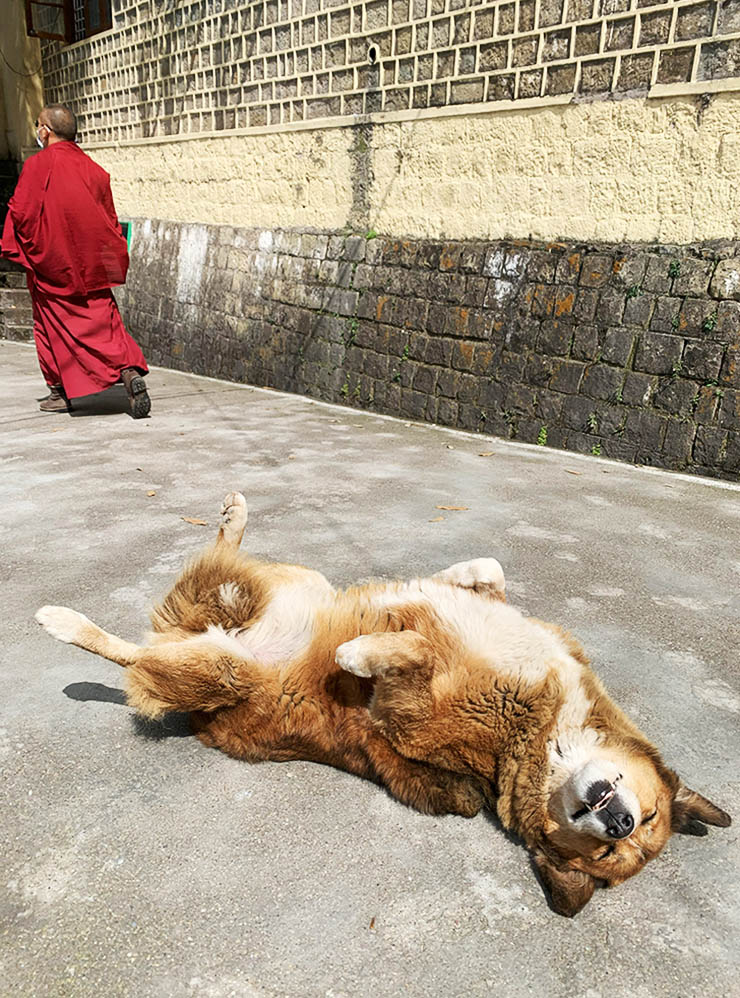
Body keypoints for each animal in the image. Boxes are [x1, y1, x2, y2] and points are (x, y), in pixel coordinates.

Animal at [37, 488, 732, 916]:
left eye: (612, 856)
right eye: (643, 819)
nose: (618, 825)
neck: (537, 729)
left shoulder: (416, 711)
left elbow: (404, 654)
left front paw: (356, 655)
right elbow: (487, 571)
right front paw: (443, 584)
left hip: (220, 666)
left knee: (133, 655)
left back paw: (65, 624)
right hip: (284, 586)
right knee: (215, 577)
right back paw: (233, 518)